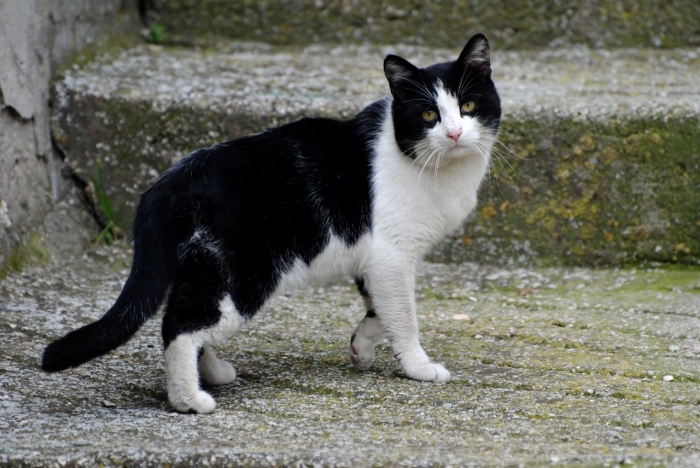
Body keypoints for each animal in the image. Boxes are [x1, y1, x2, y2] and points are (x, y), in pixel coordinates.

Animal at [43, 33, 500, 414]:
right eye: (428, 113)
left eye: (468, 106)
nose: (455, 133)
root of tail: (173, 179)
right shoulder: (393, 255)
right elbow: (403, 315)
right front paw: (419, 367)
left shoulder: (374, 259)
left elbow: (377, 306)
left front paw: (362, 347)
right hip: (245, 271)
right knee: (180, 325)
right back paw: (190, 400)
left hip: (206, 264)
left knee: (186, 312)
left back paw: (212, 374)